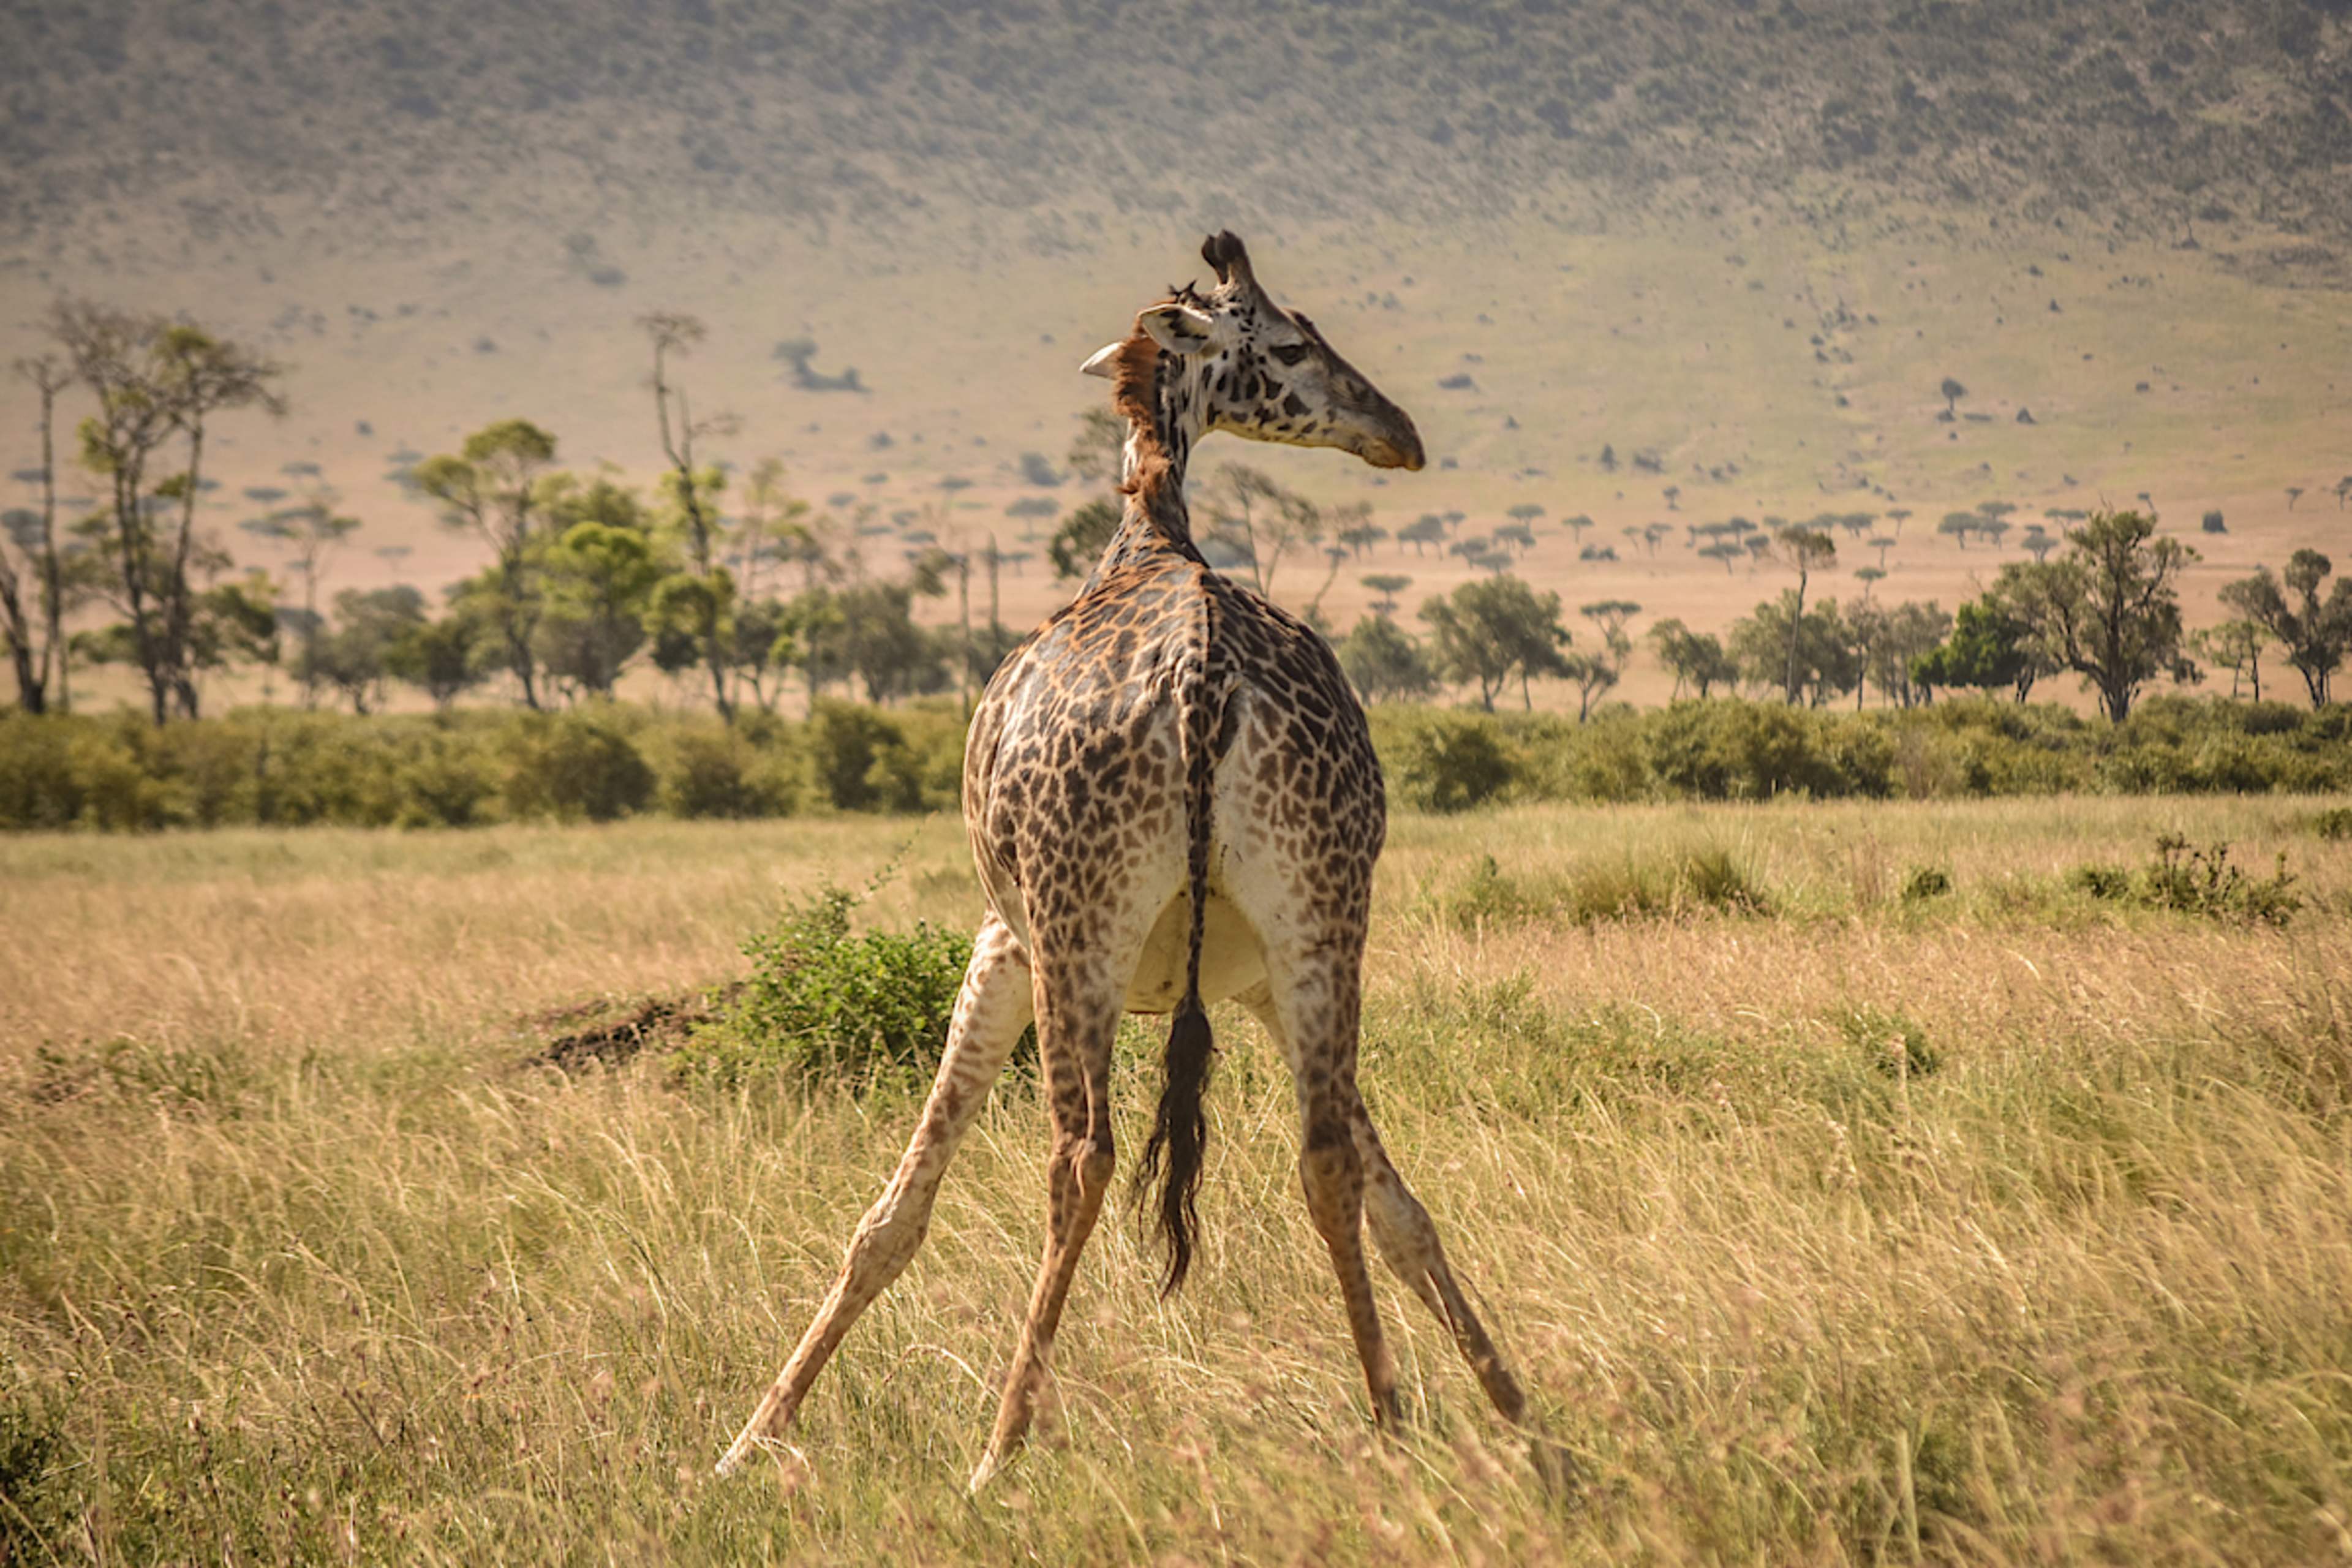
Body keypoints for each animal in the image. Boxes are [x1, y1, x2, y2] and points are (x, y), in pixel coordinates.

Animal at [718, 232, 1536, 1490]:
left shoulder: (1001, 940)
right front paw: (1523, 1420)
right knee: (1326, 1158)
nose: (1397, 430)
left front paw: (751, 1439)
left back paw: (998, 1450)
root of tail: (1205, 673)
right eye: (1288, 344)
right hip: (1323, 920)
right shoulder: (1254, 979)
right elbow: (1397, 1202)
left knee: (1080, 1159)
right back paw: (1391, 1419)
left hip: (1081, 930)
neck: (1149, 532)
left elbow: (892, 1215)